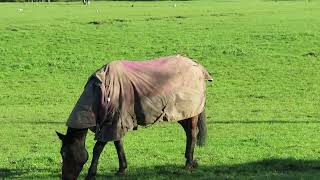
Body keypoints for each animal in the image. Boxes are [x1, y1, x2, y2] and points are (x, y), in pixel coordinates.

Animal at [56, 55, 214, 179]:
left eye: (65, 154)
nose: (65, 179)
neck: (100, 91)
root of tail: (197, 66)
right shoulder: (116, 122)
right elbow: (118, 144)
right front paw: (122, 169)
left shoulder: (110, 124)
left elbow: (97, 149)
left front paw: (91, 174)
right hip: (183, 114)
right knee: (189, 133)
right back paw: (190, 160)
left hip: (191, 113)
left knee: (192, 134)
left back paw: (189, 164)